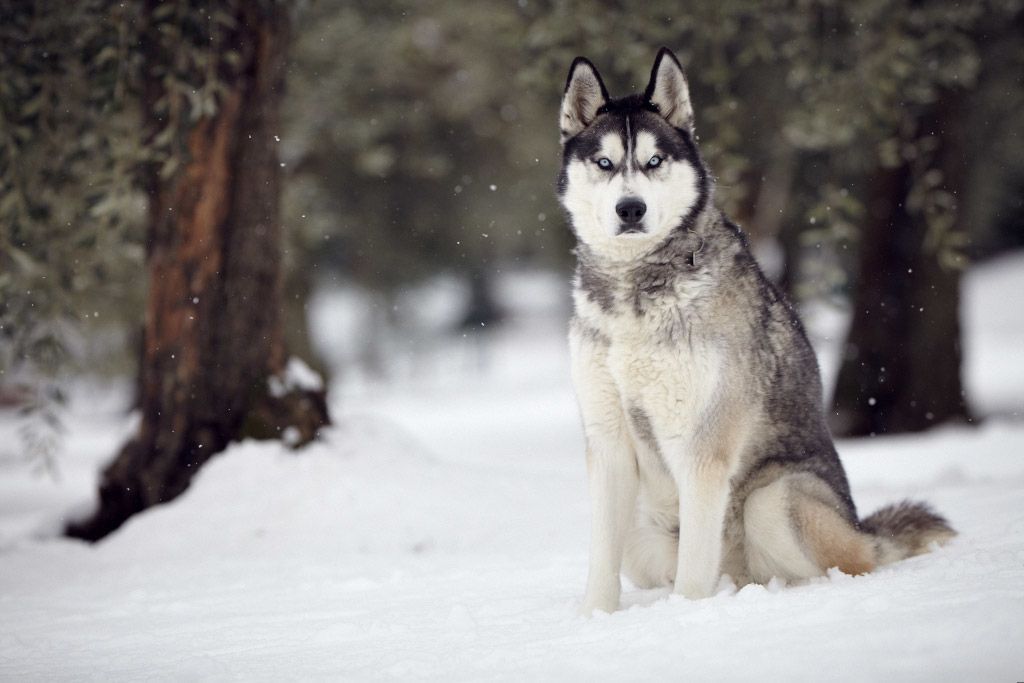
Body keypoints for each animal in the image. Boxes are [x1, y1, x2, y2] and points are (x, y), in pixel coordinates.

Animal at [557, 46, 954, 614]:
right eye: (605, 163)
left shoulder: (703, 448)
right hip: (641, 525)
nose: (630, 208)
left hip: (773, 500)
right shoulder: (607, 441)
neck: (636, 289)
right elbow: (600, 569)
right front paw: (595, 620)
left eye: (654, 161)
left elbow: (693, 574)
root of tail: (863, 528)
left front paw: (686, 614)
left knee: (847, 562)